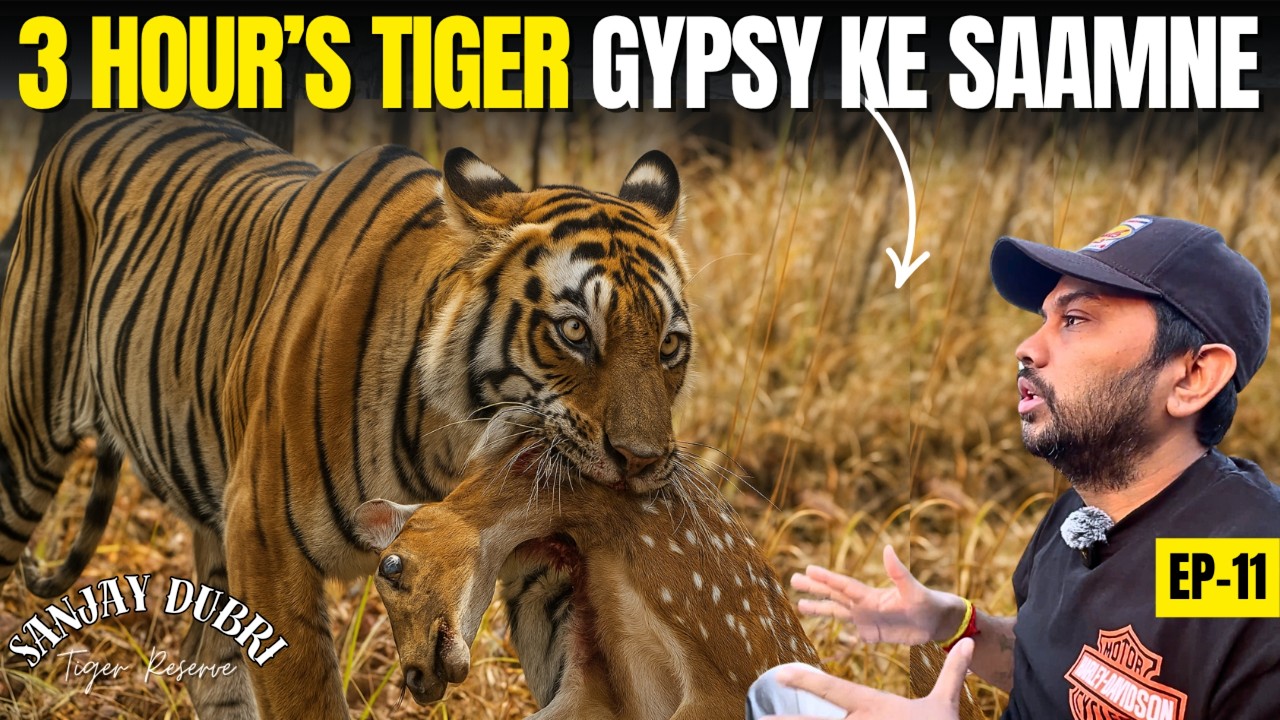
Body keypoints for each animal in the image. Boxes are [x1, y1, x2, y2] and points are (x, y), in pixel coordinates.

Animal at [0, 111, 695, 719]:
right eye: (575, 331)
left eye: (670, 346)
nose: (642, 461)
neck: (455, 450)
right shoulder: (265, 538)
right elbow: (302, 696)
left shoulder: (539, 567)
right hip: (26, 442)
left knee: (206, 658)